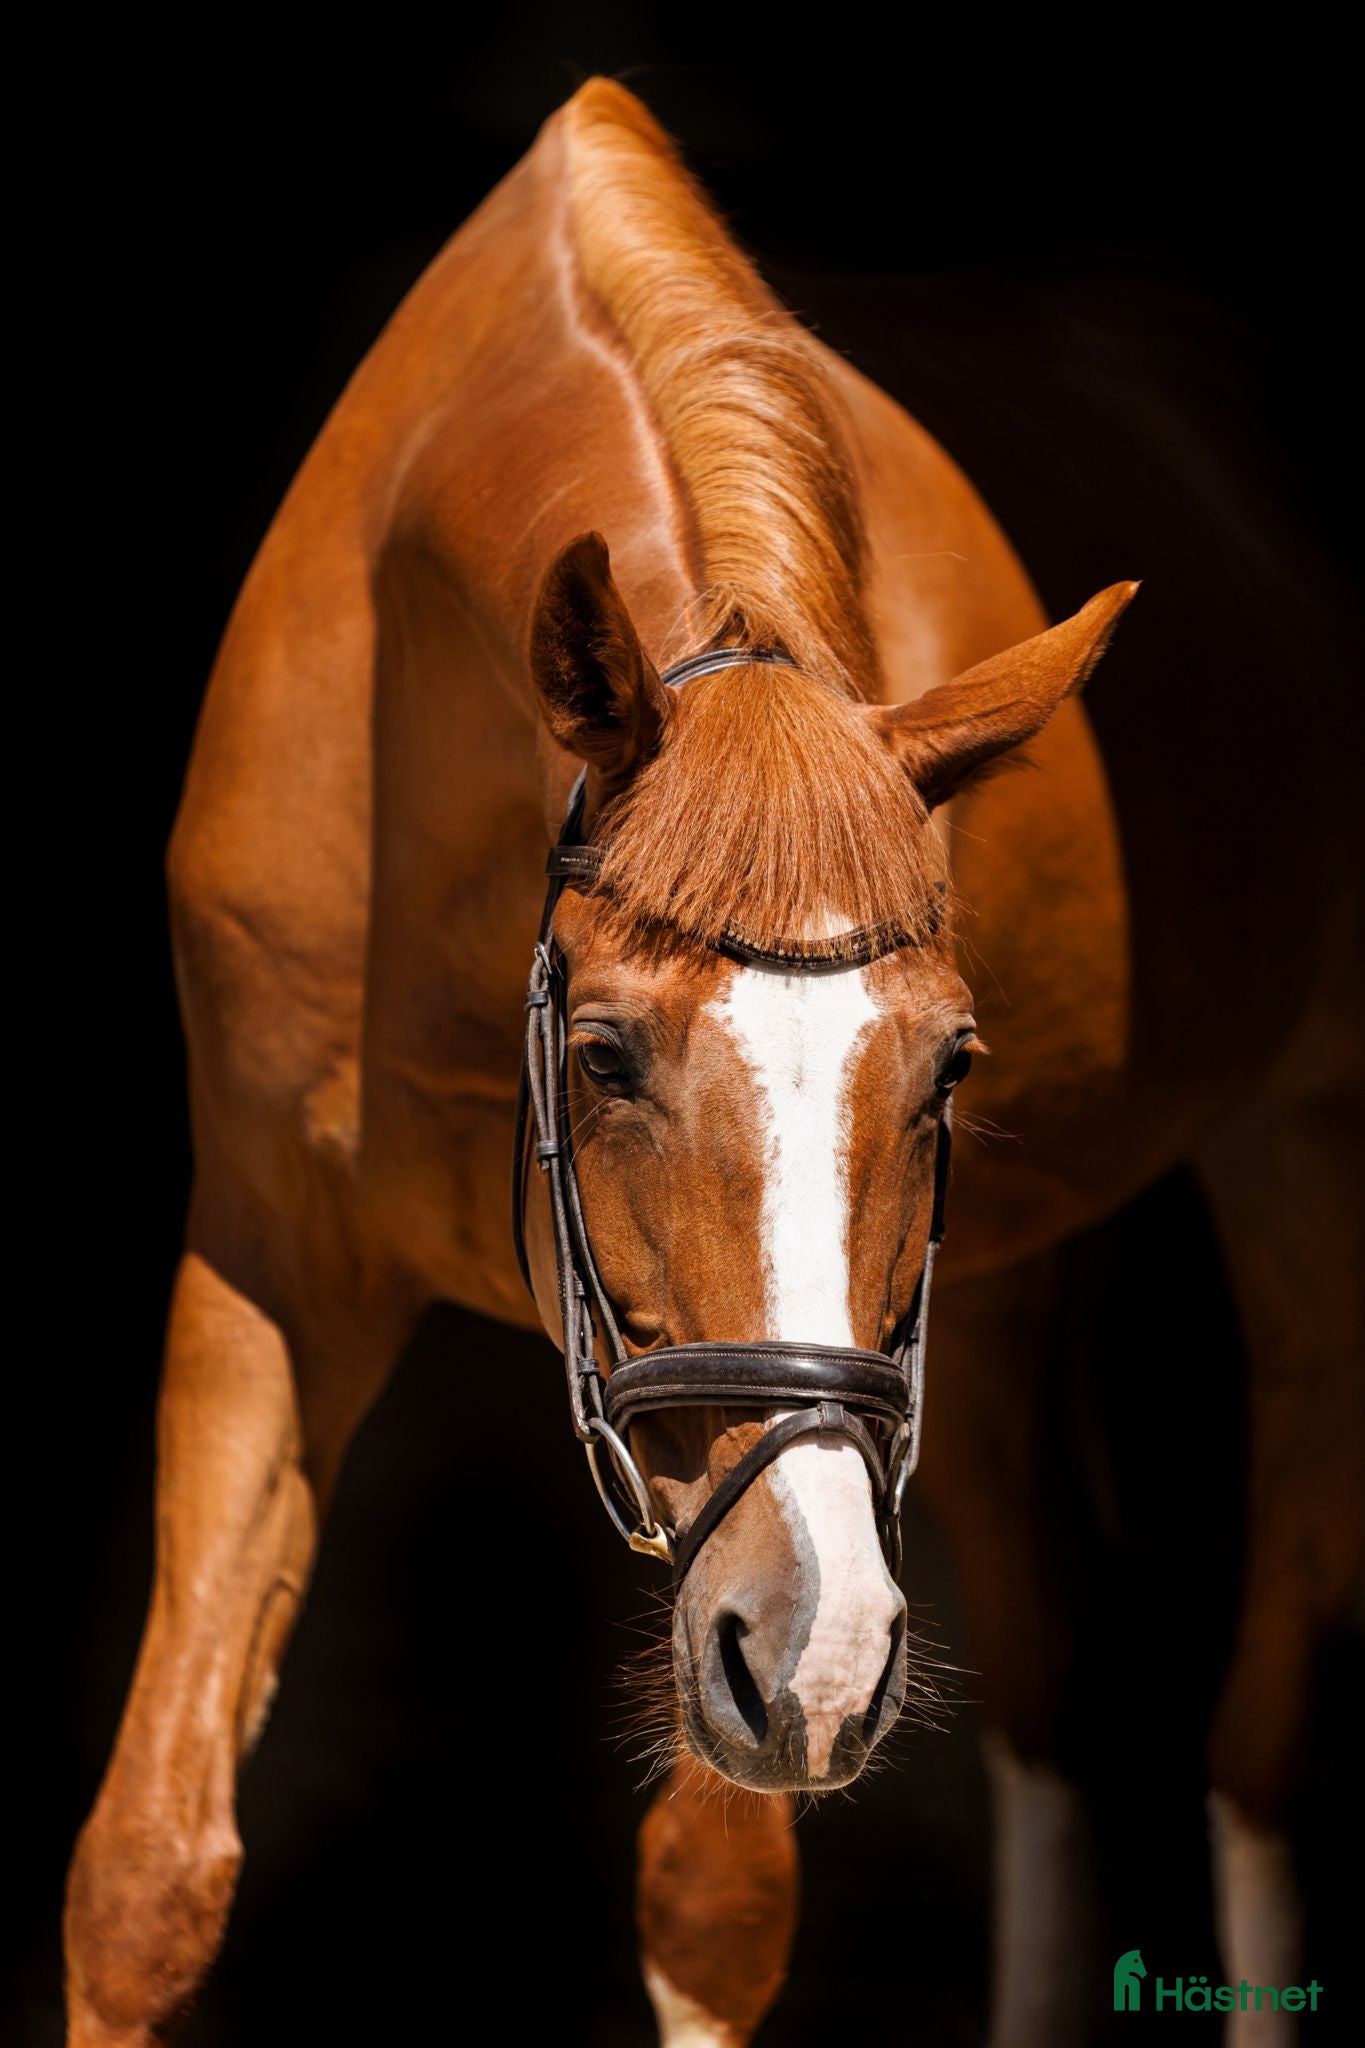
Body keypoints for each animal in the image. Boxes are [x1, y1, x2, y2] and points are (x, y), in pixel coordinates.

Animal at [64, 78, 1362, 2047]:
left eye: (948, 1064)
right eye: (604, 1054)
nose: (824, 1646)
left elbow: (713, 1900)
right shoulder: (269, 1267)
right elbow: (143, 1875)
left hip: (1302, 1150)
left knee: (1263, 1725)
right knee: (1058, 1672)